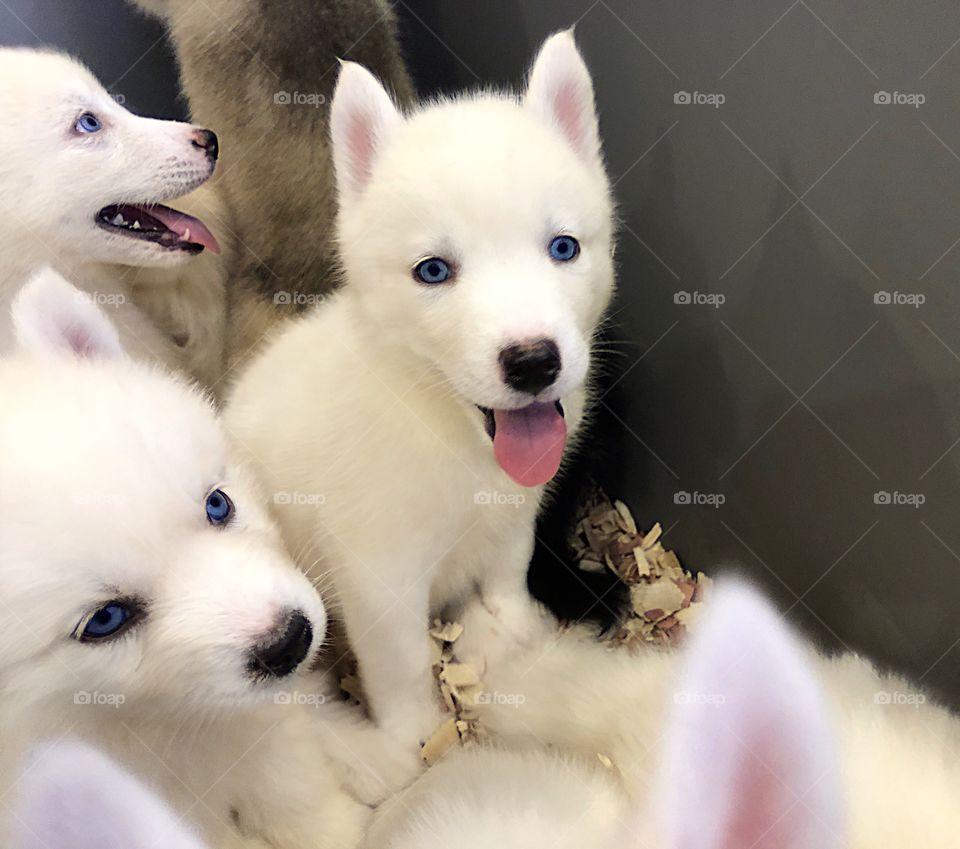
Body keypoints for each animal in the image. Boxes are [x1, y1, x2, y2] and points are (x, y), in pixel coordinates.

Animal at [0, 270, 408, 848]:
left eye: (218, 504)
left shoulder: (259, 730)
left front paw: (337, 826)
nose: (289, 641)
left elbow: (290, 782)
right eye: (105, 620)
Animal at [229, 31, 612, 748]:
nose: (533, 363)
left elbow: (509, 567)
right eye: (433, 271)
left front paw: (516, 625)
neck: (444, 427)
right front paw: (414, 737)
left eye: (564, 247)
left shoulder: (515, 513)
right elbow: (402, 665)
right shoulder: (380, 578)